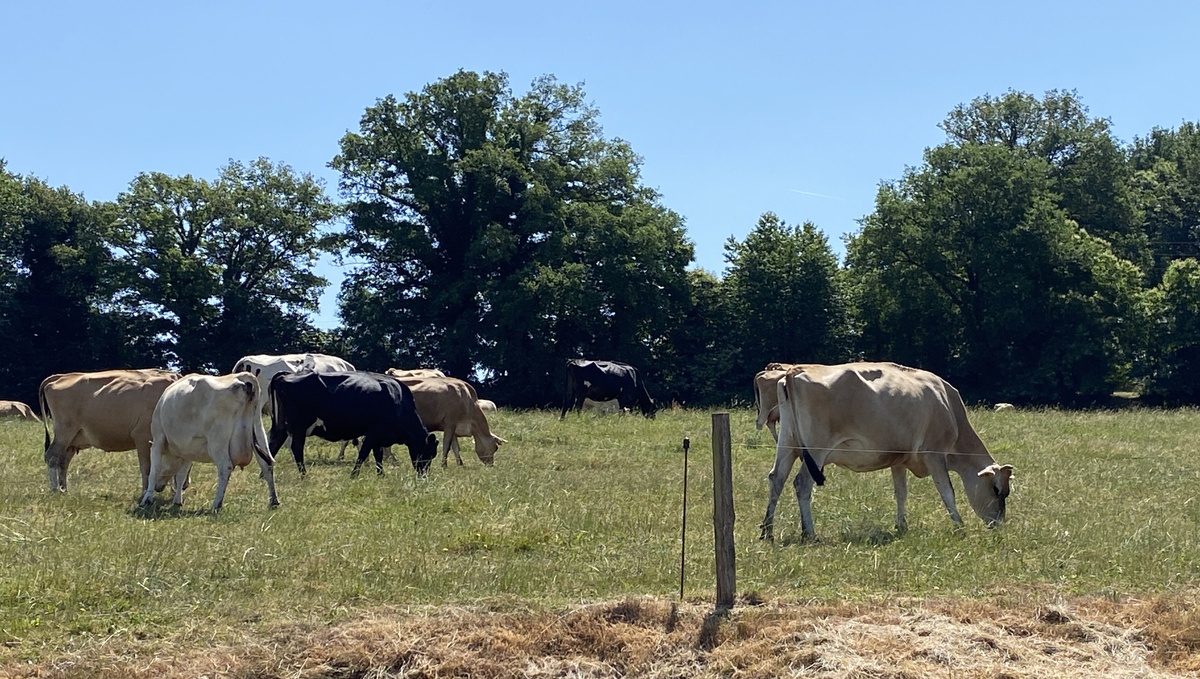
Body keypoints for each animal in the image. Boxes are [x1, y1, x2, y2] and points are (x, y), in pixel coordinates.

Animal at [39, 369, 183, 493]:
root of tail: (62, 376)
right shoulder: (142, 437)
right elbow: (147, 468)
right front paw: (145, 492)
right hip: (64, 432)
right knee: (52, 457)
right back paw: (55, 489)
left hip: (73, 438)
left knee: (63, 461)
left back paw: (64, 490)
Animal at [139, 372, 279, 511]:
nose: (158, 488)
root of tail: (242, 376)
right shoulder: (188, 451)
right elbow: (181, 475)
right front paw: (178, 500)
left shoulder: (158, 439)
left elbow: (154, 471)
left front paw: (147, 499)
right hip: (259, 434)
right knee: (267, 465)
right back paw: (273, 500)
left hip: (217, 442)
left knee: (225, 467)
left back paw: (216, 504)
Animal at [268, 370, 438, 477]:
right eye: (428, 453)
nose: (423, 476)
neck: (398, 400)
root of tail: (286, 375)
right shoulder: (374, 432)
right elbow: (364, 453)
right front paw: (354, 475)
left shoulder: (378, 435)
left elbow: (378, 455)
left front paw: (381, 475)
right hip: (299, 427)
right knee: (296, 449)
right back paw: (304, 476)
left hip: (281, 426)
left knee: (273, 445)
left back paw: (265, 475)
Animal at [759, 362, 1014, 542]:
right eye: (997, 490)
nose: (998, 524)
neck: (948, 407)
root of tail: (795, 370)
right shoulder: (934, 454)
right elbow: (947, 492)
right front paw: (959, 526)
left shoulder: (898, 459)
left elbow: (901, 492)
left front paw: (902, 525)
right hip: (817, 450)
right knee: (802, 483)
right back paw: (809, 533)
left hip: (787, 444)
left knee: (776, 478)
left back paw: (767, 531)